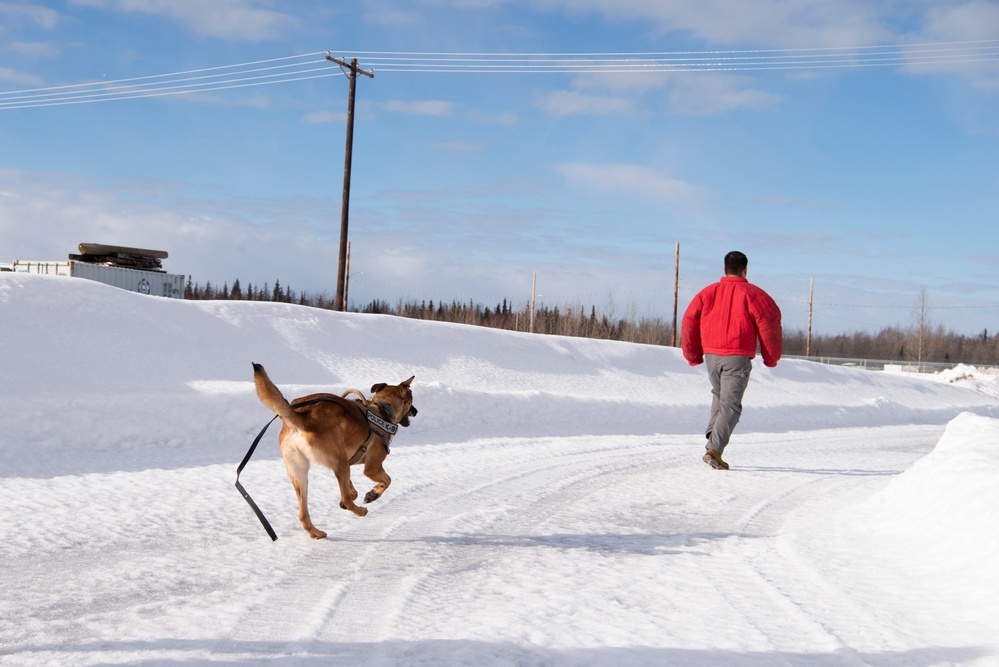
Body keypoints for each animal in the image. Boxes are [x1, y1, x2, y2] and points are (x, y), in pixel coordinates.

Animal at [256, 362, 420, 540]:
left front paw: (356, 494)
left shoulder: (348, 462)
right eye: (411, 399)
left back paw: (316, 532)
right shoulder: (372, 468)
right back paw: (360, 511)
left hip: (301, 474)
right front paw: (372, 494)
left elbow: (351, 488)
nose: (416, 411)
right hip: (340, 463)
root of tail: (301, 417)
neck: (382, 408)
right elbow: (387, 480)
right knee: (346, 498)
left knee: (303, 515)